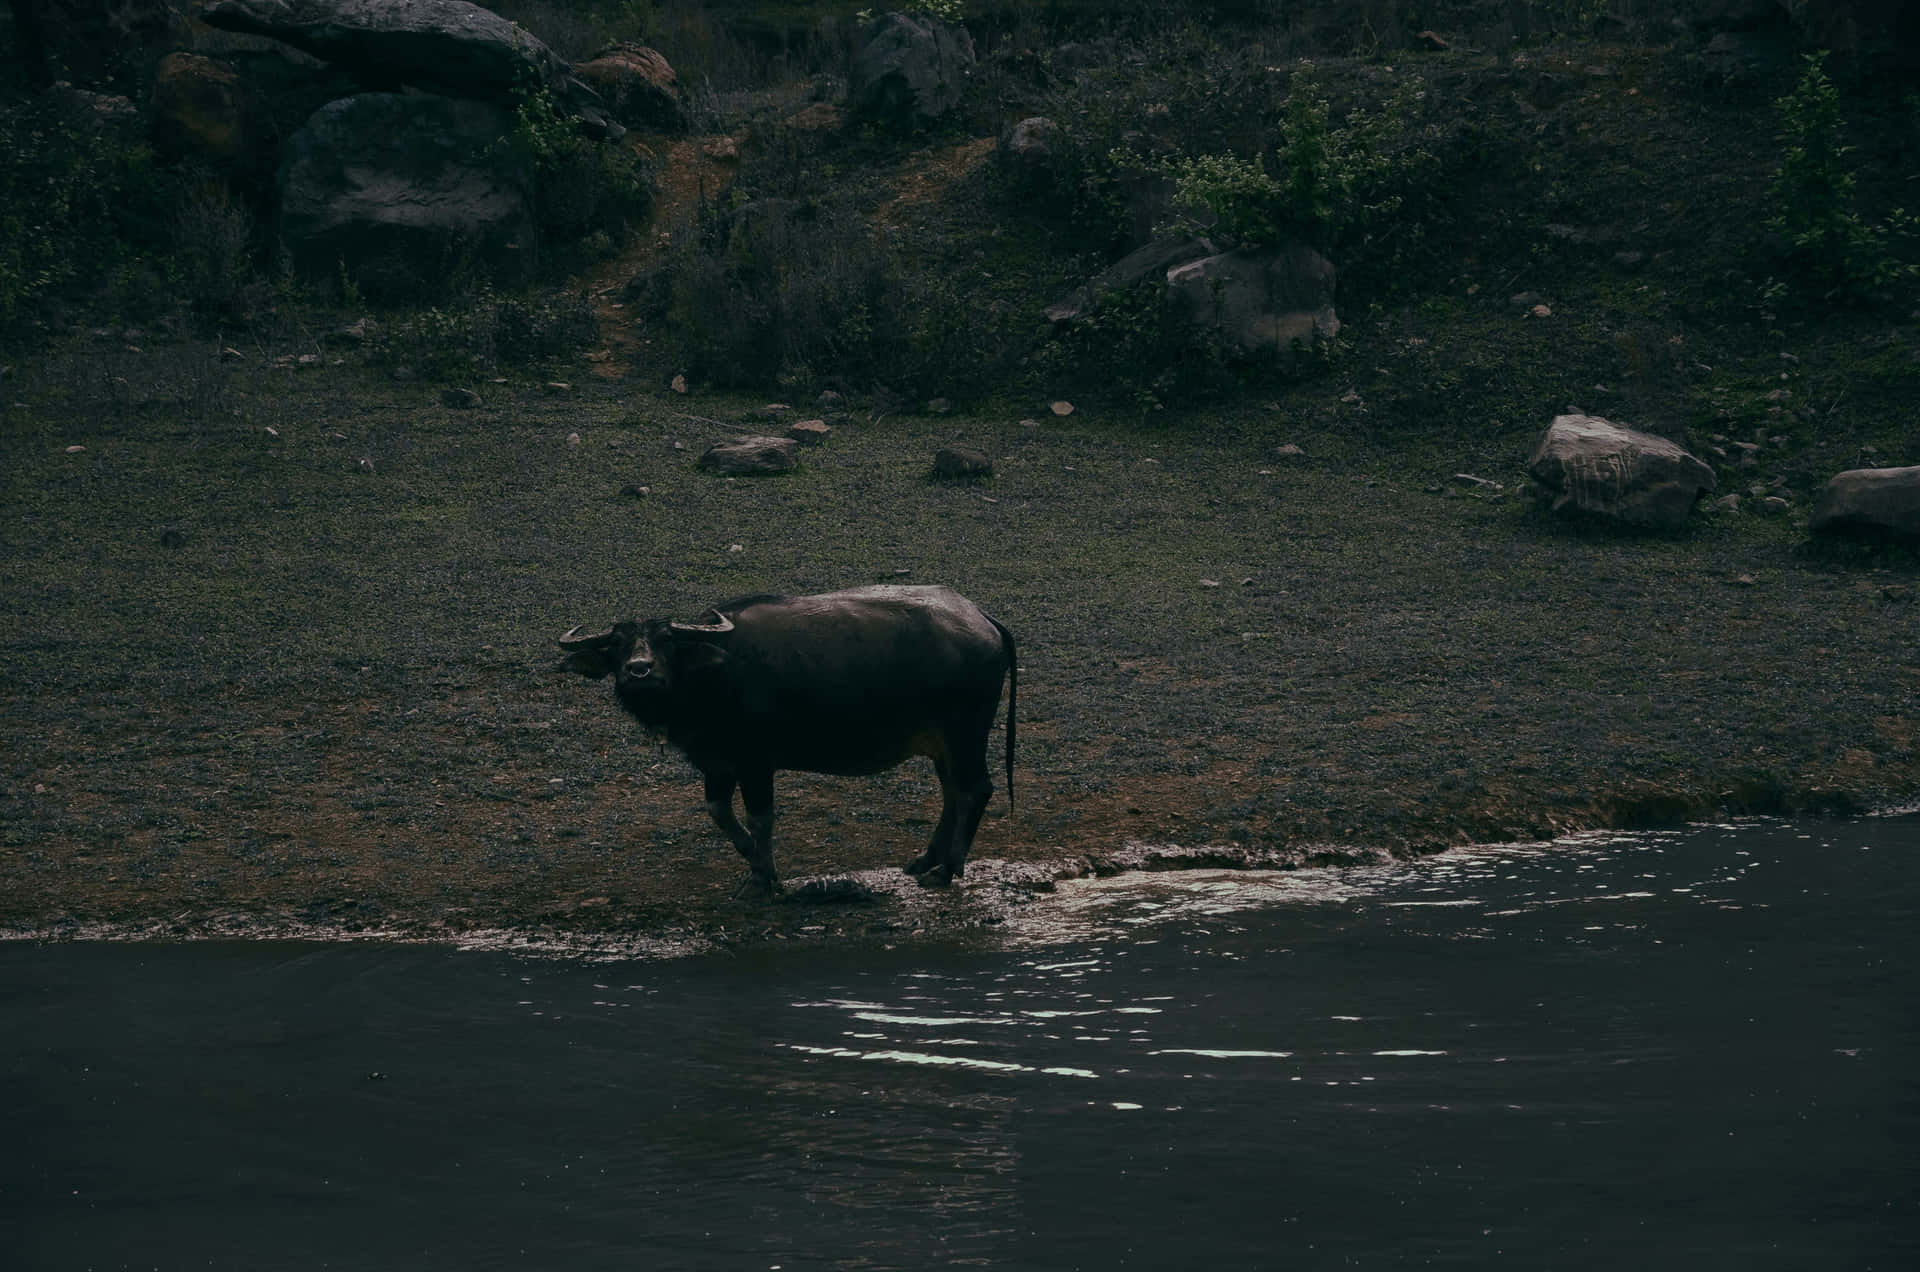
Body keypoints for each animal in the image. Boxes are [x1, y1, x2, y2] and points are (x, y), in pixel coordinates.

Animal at [560, 587, 1021, 895]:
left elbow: (761, 817)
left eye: (667, 640)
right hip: (943, 743)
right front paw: (755, 864)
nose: (639, 670)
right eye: (617, 644)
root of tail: (982, 619)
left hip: (965, 732)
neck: (713, 673)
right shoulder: (717, 763)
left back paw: (948, 869)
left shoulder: (755, 762)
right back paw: (927, 860)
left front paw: (762, 878)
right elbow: (719, 812)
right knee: (952, 792)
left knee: (976, 789)